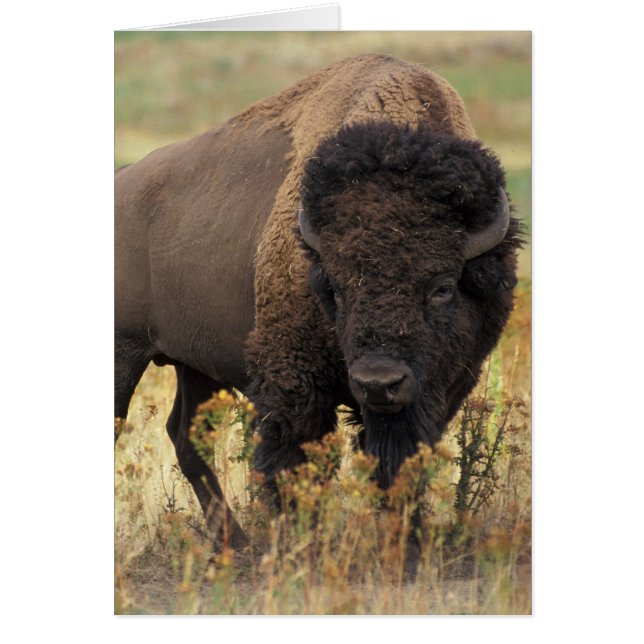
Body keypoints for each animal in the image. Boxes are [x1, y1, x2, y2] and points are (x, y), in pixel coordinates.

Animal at [115, 54, 522, 544]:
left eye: (442, 287)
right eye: (335, 287)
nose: (378, 383)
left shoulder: (439, 390)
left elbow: (399, 466)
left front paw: (406, 542)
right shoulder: (294, 384)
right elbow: (295, 464)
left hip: (193, 365)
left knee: (186, 437)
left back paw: (235, 543)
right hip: (124, 354)